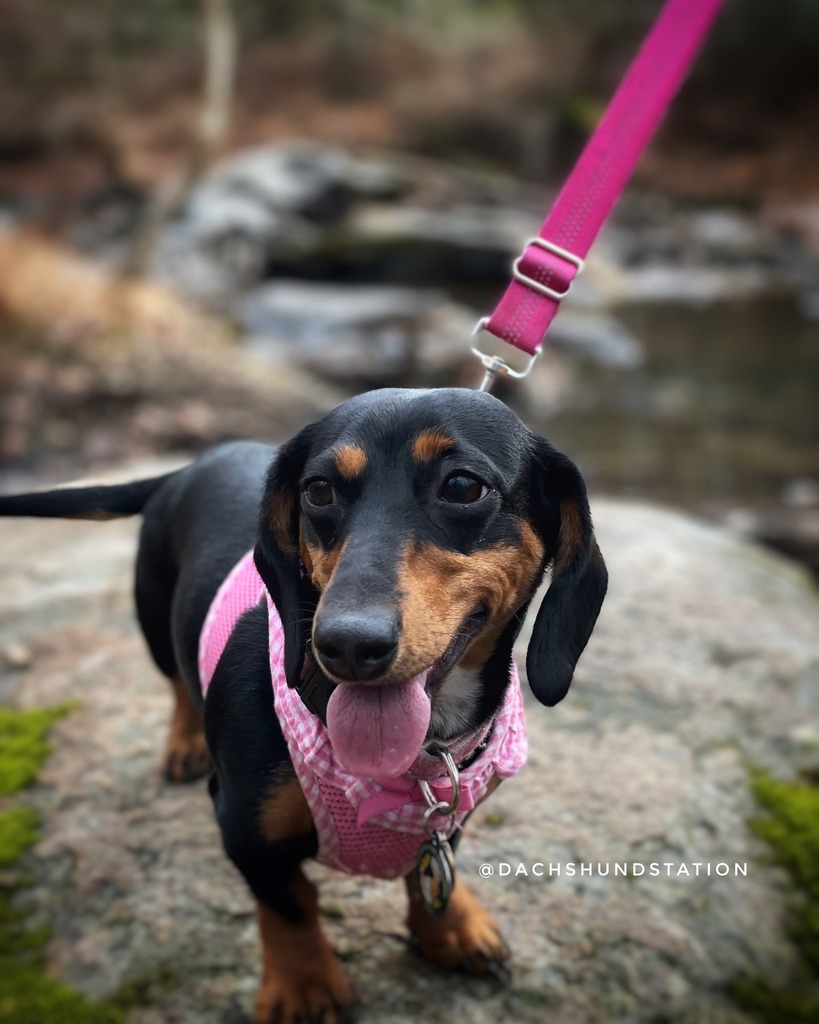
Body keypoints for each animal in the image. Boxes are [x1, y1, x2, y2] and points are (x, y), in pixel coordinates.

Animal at [0, 385, 606, 1024]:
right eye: (318, 490)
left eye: (463, 486)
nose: (347, 644)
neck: (415, 758)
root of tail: (190, 465)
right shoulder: (244, 827)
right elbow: (289, 905)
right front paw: (305, 986)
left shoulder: (449, 811)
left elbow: (428, 872)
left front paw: (452, 927)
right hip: (154, 615)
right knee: (177, 684)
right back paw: (186, 742)